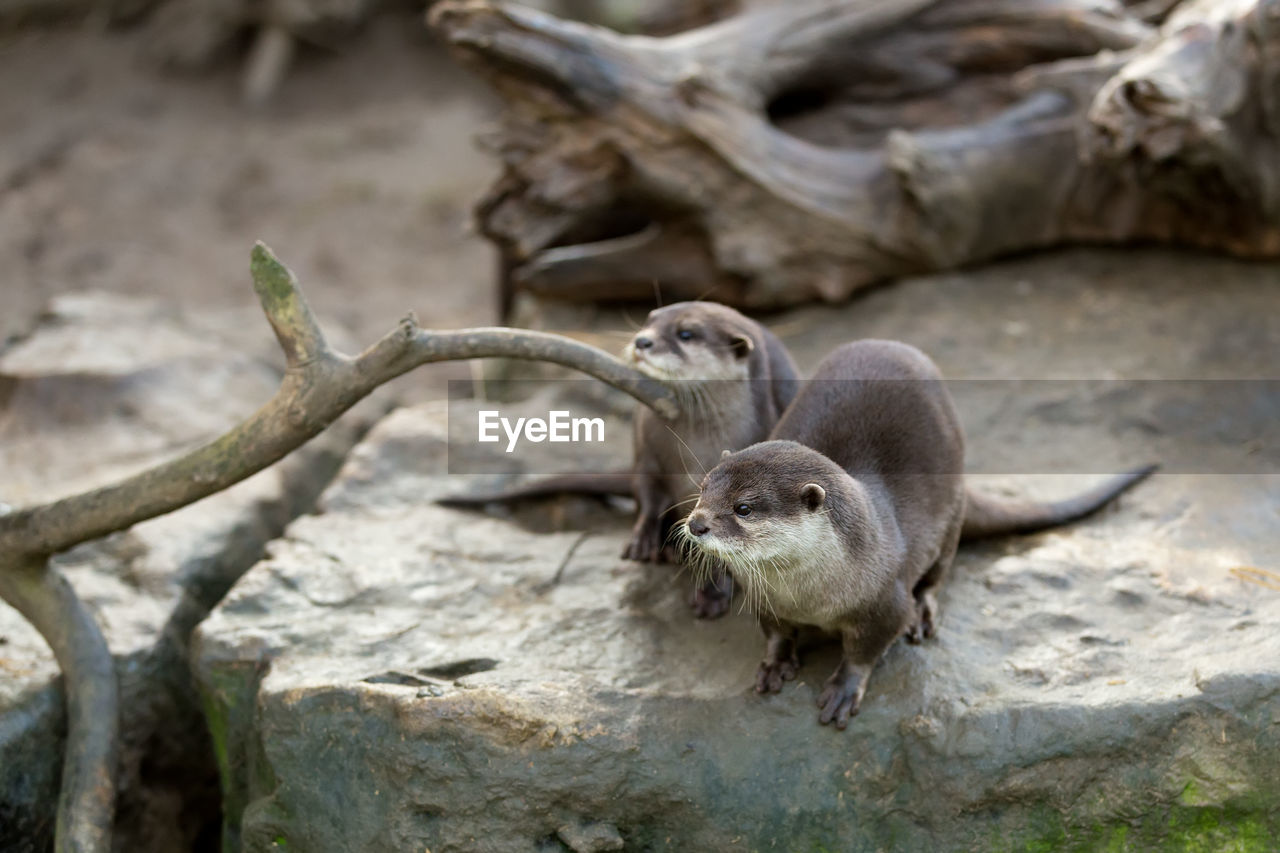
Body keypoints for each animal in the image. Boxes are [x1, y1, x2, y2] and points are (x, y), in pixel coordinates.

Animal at [445, 302, 793, 614]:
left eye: (686, 333)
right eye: (650, 319)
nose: (642, 341)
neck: (694, 450)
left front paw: (713, 594)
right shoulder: (647, 452)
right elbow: (648, 493)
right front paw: (642, 540)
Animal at [686, 343, 1157, 727]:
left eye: (744, 508)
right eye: (704, 488)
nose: (695, 523)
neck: (810, 595)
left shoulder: (885, 602)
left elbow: (867, 649)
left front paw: (844, 688)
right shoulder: (762, 594)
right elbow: (776, 632)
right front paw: (775, 663)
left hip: (951, 512)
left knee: (937, 572)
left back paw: (924, 615)